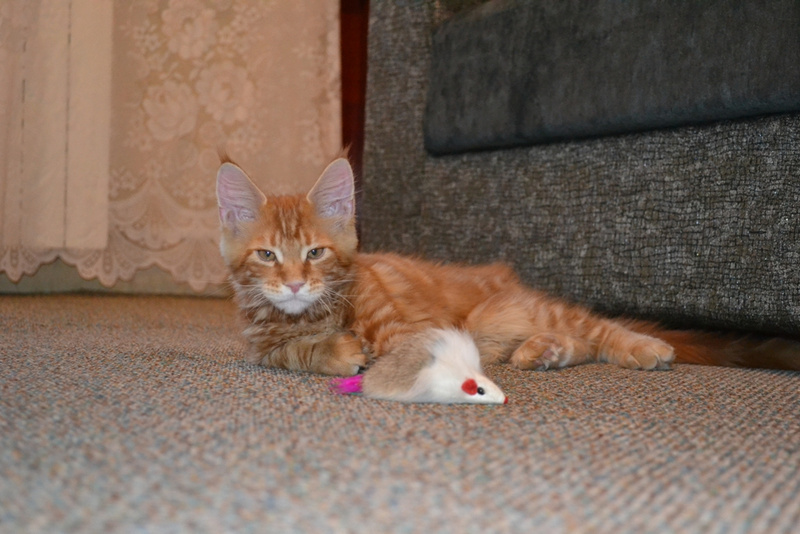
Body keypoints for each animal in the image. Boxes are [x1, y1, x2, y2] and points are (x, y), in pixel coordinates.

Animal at [216, 156, 800, 376]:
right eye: (268, 255)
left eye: (315, 252)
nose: (295, 284)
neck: (312, 315)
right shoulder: (261, 344)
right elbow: (295, 353)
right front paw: (335, 352)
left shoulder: (407, 327)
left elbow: (401, 352)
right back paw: (546, 353)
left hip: (511, 310)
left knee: (600, 328)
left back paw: (642, 347)